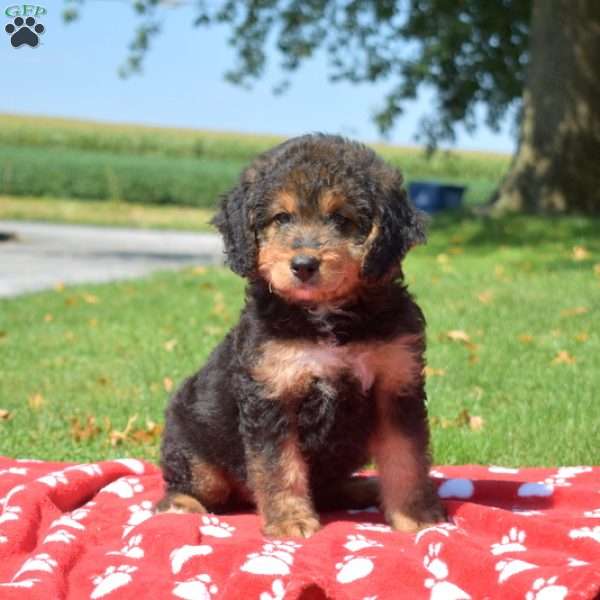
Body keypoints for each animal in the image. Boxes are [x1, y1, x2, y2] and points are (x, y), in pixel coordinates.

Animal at [156, 134, 446, 536]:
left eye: (341, 218)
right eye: (282, 217)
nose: (304, 265)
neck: (327, 319)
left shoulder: (396, 384)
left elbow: (406, 458)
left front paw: (415, 515)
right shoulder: (272, 394)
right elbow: (279, 467)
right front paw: (290, 520)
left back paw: (364, 488)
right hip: (196, 449)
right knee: (189, 486)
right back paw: (179, 507)